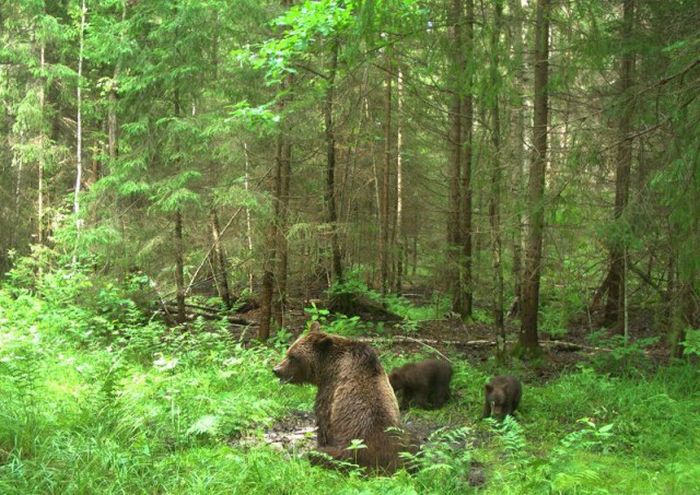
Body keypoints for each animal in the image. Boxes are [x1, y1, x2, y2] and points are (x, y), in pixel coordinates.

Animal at [270, 322, 408, 472]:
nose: (276, 370)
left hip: (350, 450)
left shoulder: (331, 390)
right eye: (288, 352)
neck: (326, 368)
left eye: (293, 357)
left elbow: (323, 421)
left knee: (321, 455)